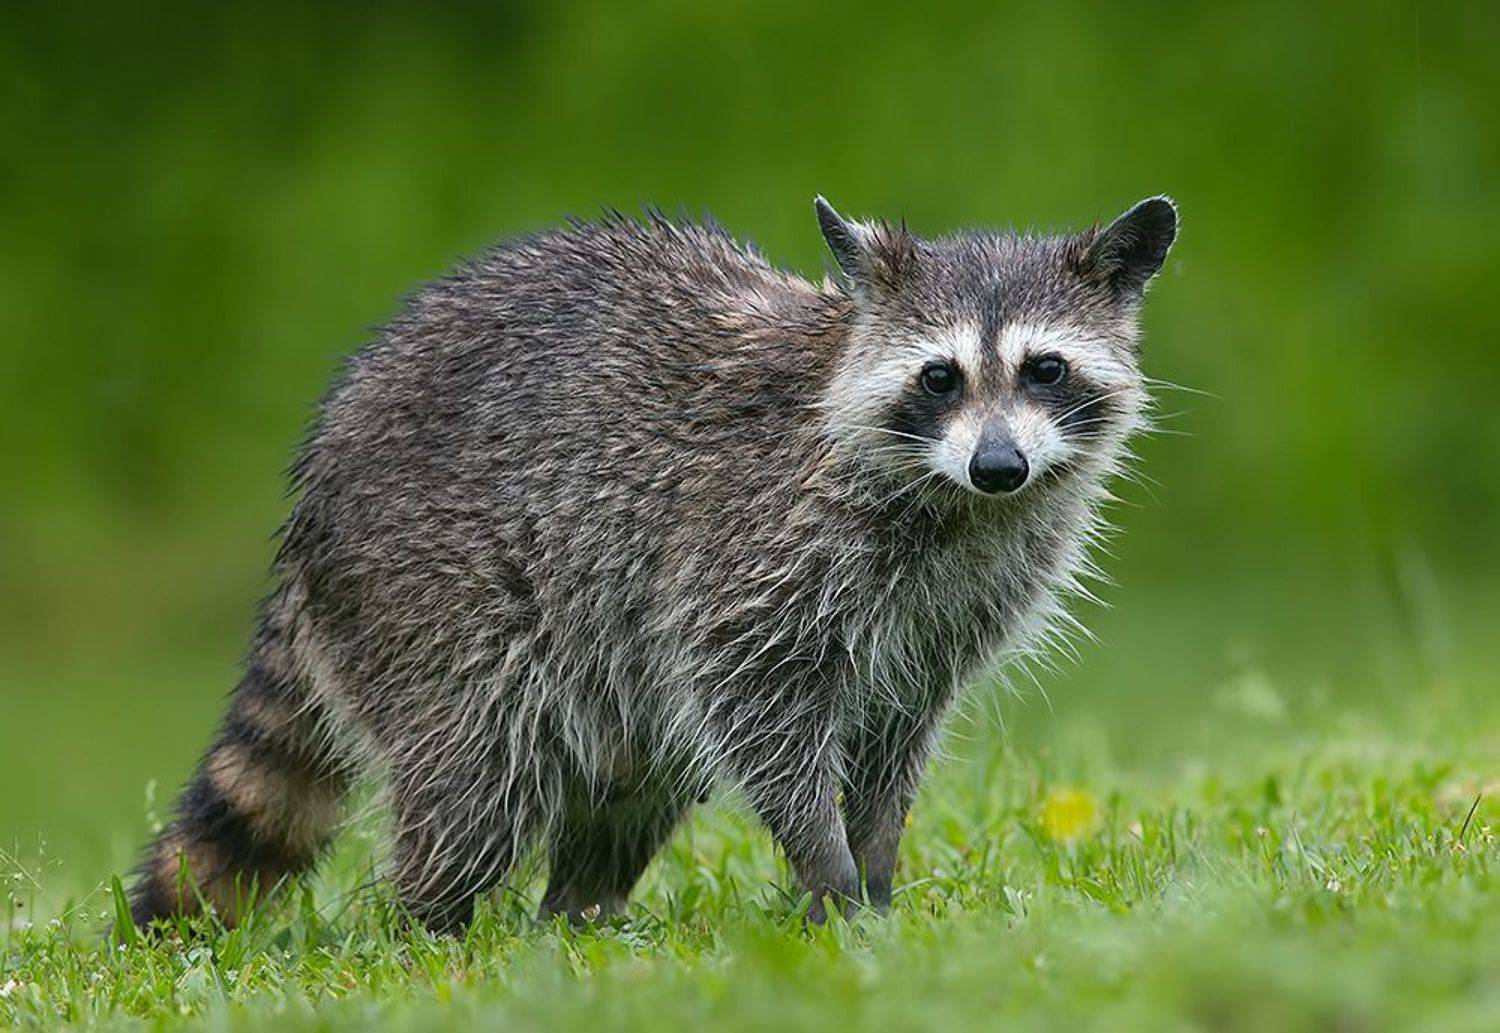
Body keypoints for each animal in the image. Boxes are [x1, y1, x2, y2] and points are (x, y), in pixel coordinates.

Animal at [128, 195, 1177, 931]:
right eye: (940, 377)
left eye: (1045, 369)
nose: (999, 465)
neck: (957, 501)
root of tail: (306, 508)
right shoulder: (757, 547)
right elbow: (757, 705)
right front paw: (830, 874)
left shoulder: (955, 604)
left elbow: (897, 734)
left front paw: (875, 870)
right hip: (427, 589)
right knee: (476, 773)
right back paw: (433, 928)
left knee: (637, 774)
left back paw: (576, 916)